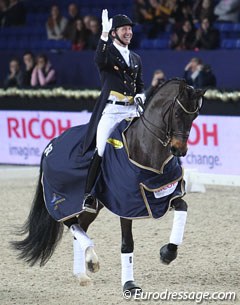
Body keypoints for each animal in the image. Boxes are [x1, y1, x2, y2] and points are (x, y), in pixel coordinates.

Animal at [12, 78, 205, 292]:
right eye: (178, 113)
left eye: (195, 115)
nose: (179, 150)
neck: (145, 149)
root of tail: (51, 144)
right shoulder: (126, 205)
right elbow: (127, 244)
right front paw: (129, 285)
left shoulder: (164, 195)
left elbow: (183, 207)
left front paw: (168, 253)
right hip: (63, 201)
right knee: (71, 224)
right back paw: (92, 259)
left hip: (93, 207)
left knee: (79, 227)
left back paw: (82, 274)